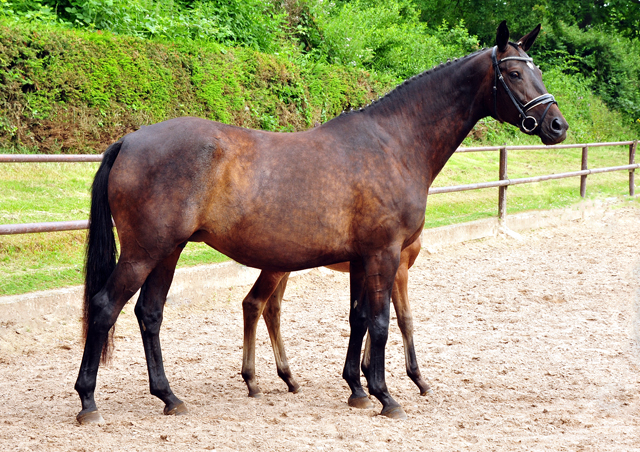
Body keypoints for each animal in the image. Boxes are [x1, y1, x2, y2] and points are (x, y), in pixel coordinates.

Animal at [76, 21, 568, 424]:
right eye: (514, 74)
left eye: (539, 70)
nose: (557, 126)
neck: (394, 143)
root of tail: (130, 141)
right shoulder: (385, 254)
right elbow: (382, 321)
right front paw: (387, 396)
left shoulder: (361, 258)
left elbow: (358, 318)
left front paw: (357, 390)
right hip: (144, 252)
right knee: (105, 307)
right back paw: (88, 401)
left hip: (168, 251)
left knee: (150, 314)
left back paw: (169, 397)